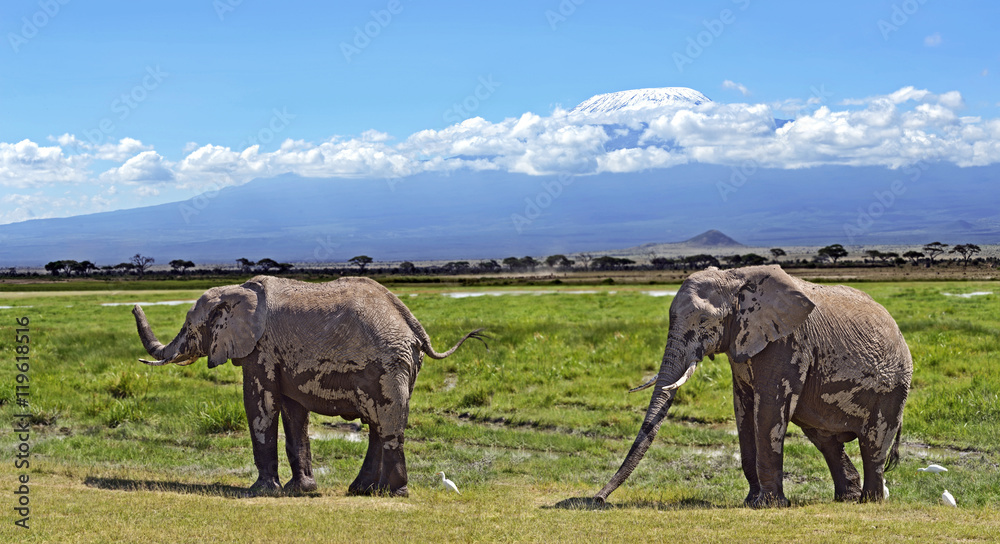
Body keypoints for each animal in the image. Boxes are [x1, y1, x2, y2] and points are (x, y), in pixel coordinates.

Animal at [132, 275, 487, 496]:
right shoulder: (283, 358)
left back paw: (393, 493)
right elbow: (293, 414)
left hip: (387, 363)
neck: (239, 291)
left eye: (189, 327)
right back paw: (364, 491)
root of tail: (413, 324)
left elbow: (260, 406)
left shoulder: (261, 349)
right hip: (403, 364)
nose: (134, 304)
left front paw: (261, 491)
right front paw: (299, 490)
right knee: (378, 424)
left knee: (386, 422)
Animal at [595, 265, 912, 507]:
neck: (735, 279)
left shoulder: (787, 344)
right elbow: (744, 411)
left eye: (703, 320)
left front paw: (769, 505)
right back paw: (847, 498)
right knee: (825, 440)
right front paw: (751, 502)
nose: (597, 499)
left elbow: (769, 410)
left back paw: (870, 501)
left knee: (873, 442)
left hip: (893, 386)